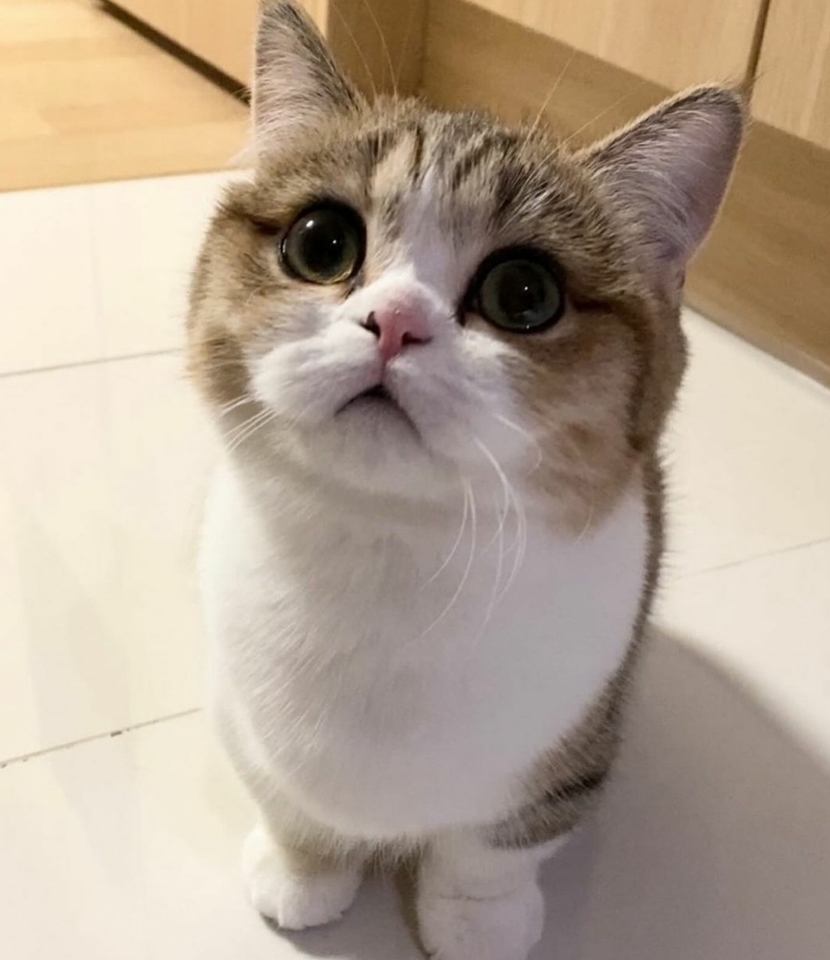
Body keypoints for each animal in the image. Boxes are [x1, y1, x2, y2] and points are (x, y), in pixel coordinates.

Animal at [187, 3, 743, 958]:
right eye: (321, 244)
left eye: (524, 294)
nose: (395, 322)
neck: (388, 554)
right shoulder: (242, 718)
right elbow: (292, 805)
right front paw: (304, 871)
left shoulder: (560, 751)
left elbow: (492, 847)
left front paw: (476, 919)